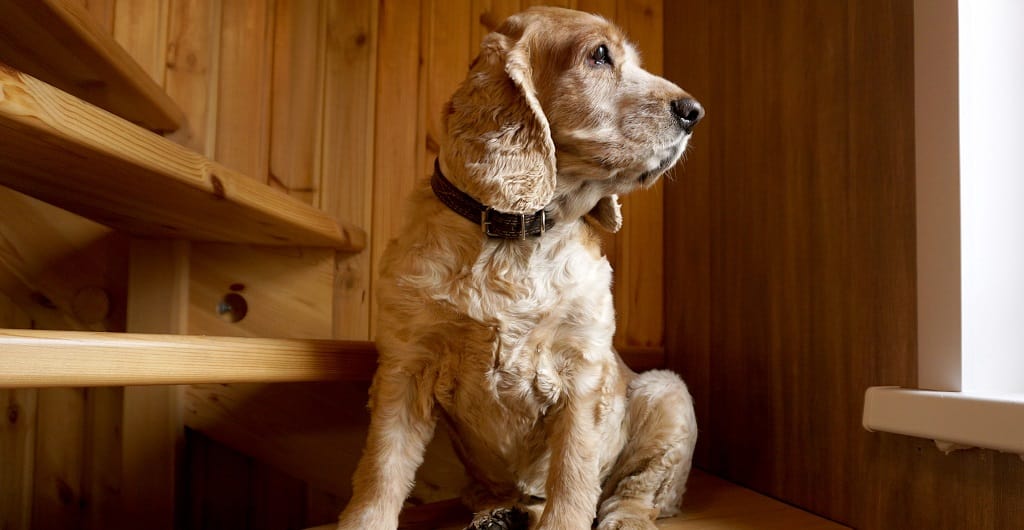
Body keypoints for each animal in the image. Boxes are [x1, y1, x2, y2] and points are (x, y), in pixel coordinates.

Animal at [335, 7, 704, 530]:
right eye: (599, 55)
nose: (693, 111)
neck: (518, 233)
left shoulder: (582, 372)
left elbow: (573, 476)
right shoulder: (405, 364)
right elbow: (383, 468)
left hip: (666, 390)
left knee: (641, 489)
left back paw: (624, 518)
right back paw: (499, 513)